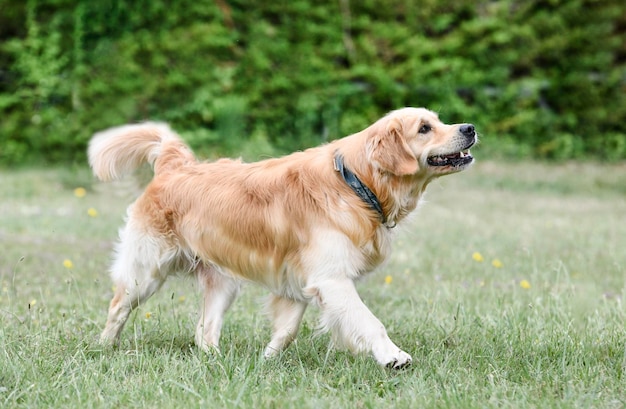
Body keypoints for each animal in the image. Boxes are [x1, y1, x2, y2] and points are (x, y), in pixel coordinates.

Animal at [90, 107, 476, 368]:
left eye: (439, 121)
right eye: (424, 128)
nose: (470, 127)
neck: (355, 182)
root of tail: (174, 166)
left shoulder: (299, 282)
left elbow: (287, 330)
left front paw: (266, 361)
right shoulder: (331, 278)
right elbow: (370, 322)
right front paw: (393, 356)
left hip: (222, 280)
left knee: (204, 329)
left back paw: (217, 362)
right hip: (146, 270)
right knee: (118, 306)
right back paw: (104, 347)